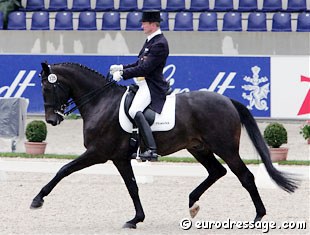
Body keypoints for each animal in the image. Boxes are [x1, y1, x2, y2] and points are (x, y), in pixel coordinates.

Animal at [30, 62, 298, 229]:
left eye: (48, 87)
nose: (51, 120)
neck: (101, 102)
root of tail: (227, 100)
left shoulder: (98, 152)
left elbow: (63, 170)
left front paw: (37, 199)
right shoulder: (119, 157)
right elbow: (132, 187)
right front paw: (136, 219)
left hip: (225, 148)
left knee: (245, 176)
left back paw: (258, 216)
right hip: (198, 148)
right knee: (217, 171)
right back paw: (192, 204)